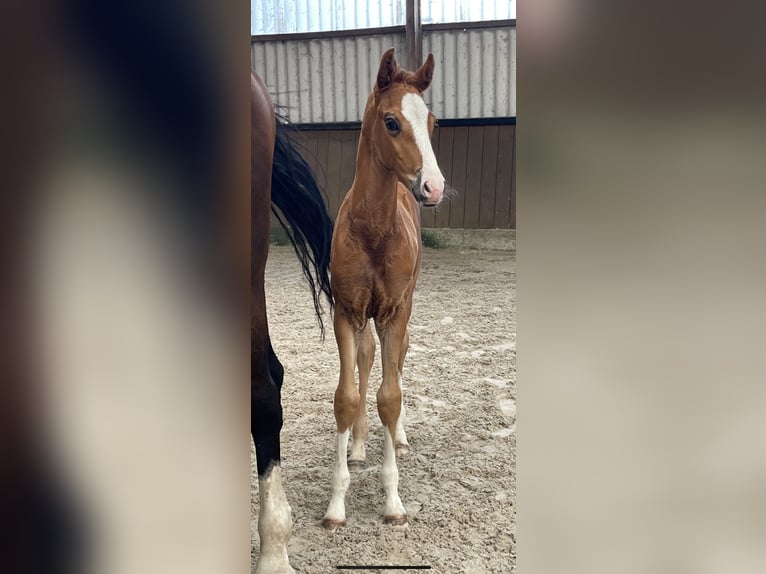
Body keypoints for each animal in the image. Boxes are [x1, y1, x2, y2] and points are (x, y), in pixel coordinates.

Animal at [322, 49, 444, 532]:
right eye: (391, 122)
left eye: (431, 122)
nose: (434, 186)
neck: (373, 230)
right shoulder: (347, 311)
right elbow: (347, 396)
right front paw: (336, 505)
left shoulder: (394, 311)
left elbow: (390, 398)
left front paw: (393, 502)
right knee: (367, 357)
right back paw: (357, 447)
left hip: (404, 310)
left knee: (397, 363)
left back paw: (402, 437)